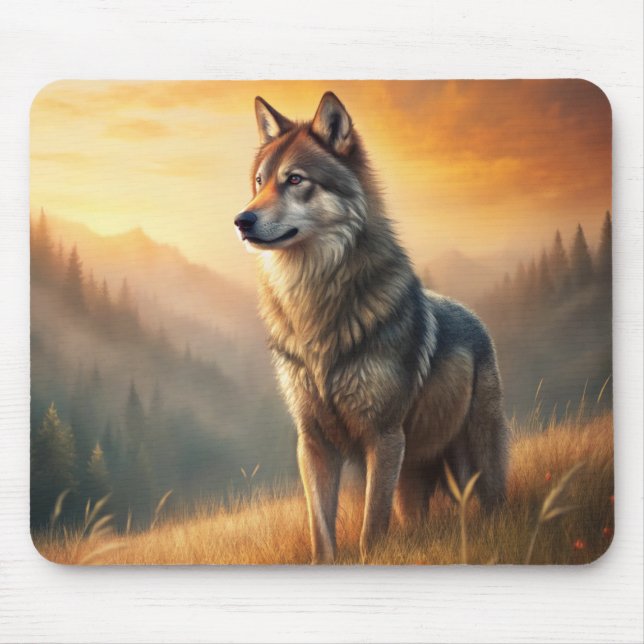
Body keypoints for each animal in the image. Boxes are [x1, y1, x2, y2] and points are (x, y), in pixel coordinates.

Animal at [234, 92, 509, 563]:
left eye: (294, 180)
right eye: (259, 182)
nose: (241, 221)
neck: (314, 303)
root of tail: (475, 319)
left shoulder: (383, 436)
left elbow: (370, 528)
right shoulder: (313, 442)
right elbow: (321, 529)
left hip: (472, 455)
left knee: (490, 503)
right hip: (413, 477)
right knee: (416, 515)